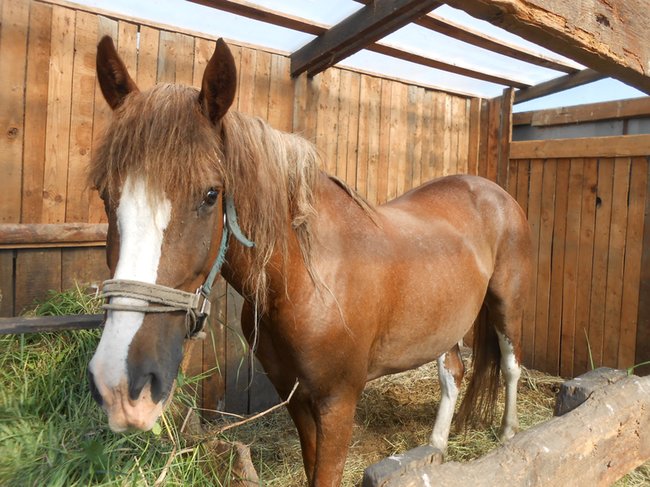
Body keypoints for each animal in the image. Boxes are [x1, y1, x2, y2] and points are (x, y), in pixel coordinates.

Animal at [86, 36, 532, 486]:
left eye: (211, 195)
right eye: (105, 193)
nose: (121, 385)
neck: (308, 278)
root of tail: (494, 191)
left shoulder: (338, 402)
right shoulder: (295, 397)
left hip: (506, 303)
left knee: (512, 366)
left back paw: (510, 435)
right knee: (452, 372)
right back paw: (436, 448)